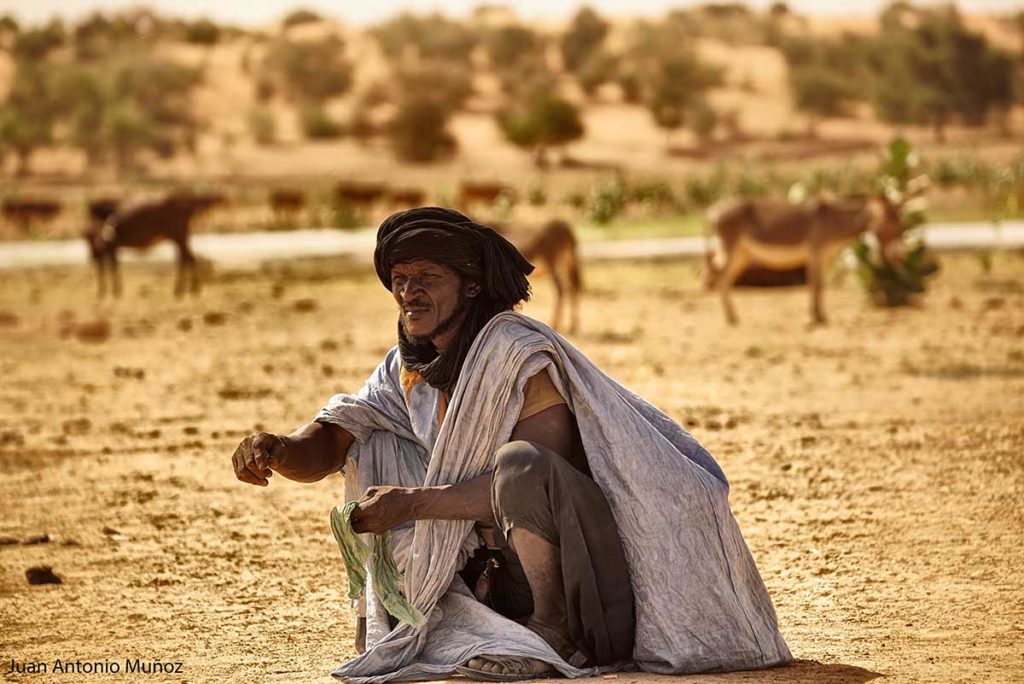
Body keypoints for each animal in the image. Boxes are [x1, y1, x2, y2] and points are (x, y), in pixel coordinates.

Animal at [704, 193, 905, 325]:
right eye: (882, 224)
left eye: (901, 225)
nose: (898, 257)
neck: (834, 221)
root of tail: (713, 209)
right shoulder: (815, 253)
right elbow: (816, 285)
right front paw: (816, 318)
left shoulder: (825, 258)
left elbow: (820, 285)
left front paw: (821, 316)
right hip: (731, 249)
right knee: (720, 277)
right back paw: (730, 319)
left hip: (742, 255)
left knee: (724, 279)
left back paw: (733, 317)